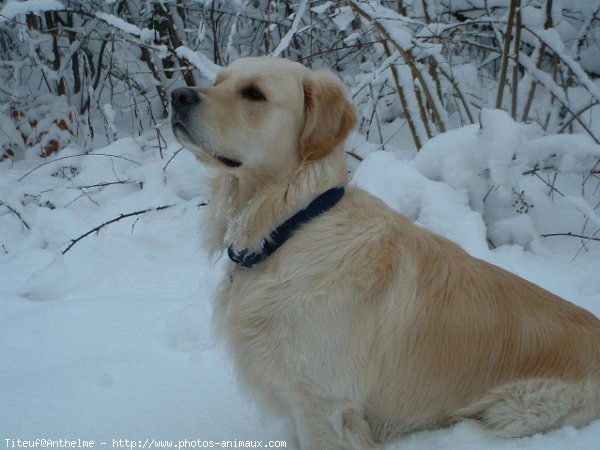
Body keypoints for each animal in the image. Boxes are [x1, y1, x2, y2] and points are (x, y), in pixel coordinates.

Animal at [170, 58, 600, 448]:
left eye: (253, 93)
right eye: (219, 81)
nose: (177, 95)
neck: (289, 226)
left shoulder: (325, 403)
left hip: (512, 410)